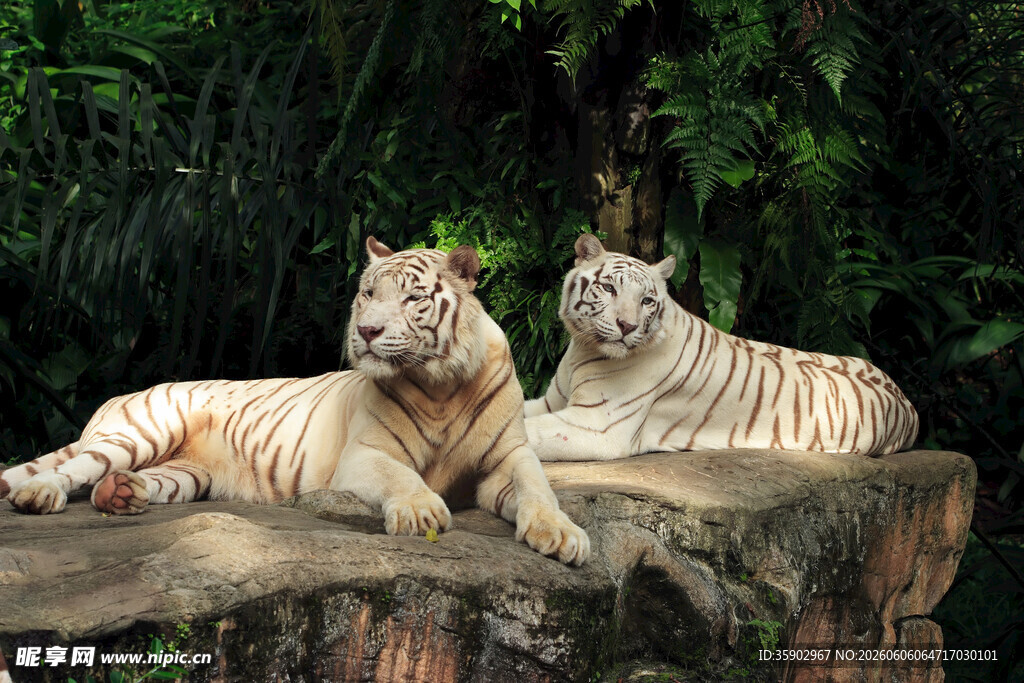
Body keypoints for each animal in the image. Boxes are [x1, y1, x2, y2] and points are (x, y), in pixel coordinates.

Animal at [1, 238, 589, 566]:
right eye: (368, 294)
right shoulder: (366, 455)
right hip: (142, 432)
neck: (442, 383)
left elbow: (539, 488)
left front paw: (562, 536)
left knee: (131, 481)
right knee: (73, 466)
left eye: (412, 298)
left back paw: (120, 495)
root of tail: (119, 397)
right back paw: (39, 495)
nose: (367, 331)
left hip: (188, 473)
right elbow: (403, 477)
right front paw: (421, 510)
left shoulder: (508, 456)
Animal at [524, 234, 919, 461]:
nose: (628, 326)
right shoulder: (553, 402)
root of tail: (908, 404)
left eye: (647, 301)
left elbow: (529, 432)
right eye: (609, 289)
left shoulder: (598, 425)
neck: (584, 348)